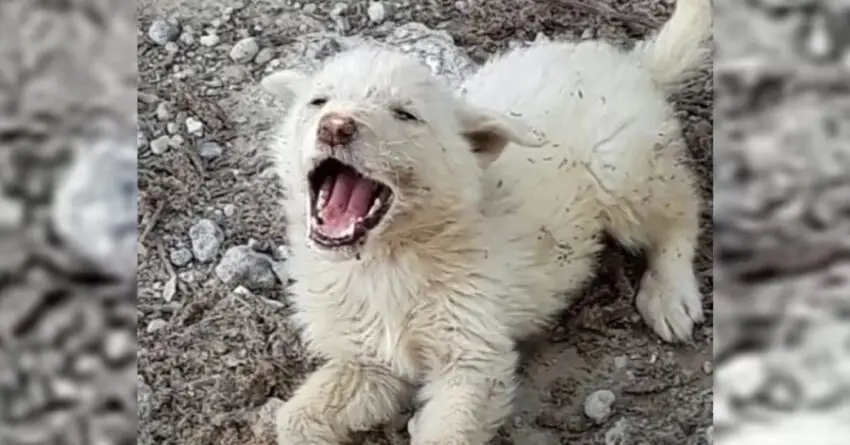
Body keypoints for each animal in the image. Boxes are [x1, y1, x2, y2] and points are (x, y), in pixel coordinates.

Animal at [264, 1, 708, 442]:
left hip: (623, 174)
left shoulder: (474, 359)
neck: (385, 261)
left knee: (683, 212)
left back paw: (671, 295)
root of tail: (635, 65)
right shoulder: (367, 359)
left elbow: (447, 432)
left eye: (405, 114)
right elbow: (294, 417)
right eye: (318, 102)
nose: (335, 127)